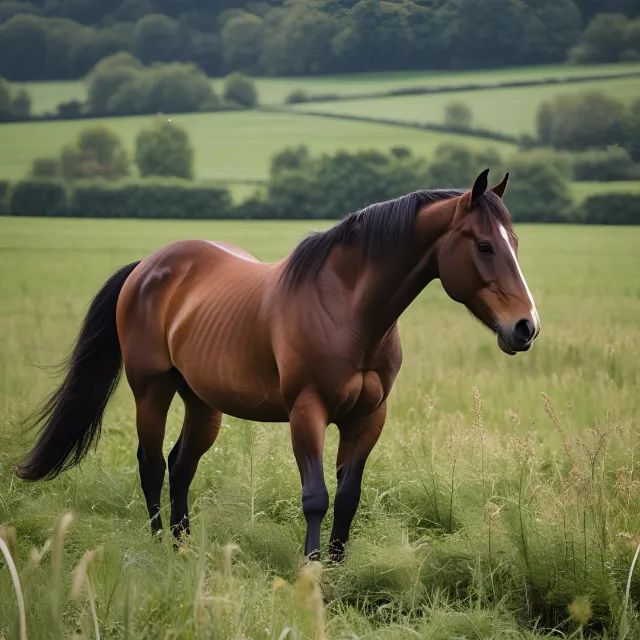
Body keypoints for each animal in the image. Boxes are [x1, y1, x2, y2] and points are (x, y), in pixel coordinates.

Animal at [16, 169, 539, 561]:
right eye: (485, 246)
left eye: (515, 242)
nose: (525, 327)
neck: (349, 309)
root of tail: (147, 266)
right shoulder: (307, 412)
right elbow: (316, 497)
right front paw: (312, 568)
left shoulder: (369, 417)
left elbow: (348, 497)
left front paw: (338, 566)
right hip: (151, 390)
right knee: (151, 463)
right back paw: (160, 545)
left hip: (202, 402)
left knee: (181, 464)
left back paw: (185, 548)